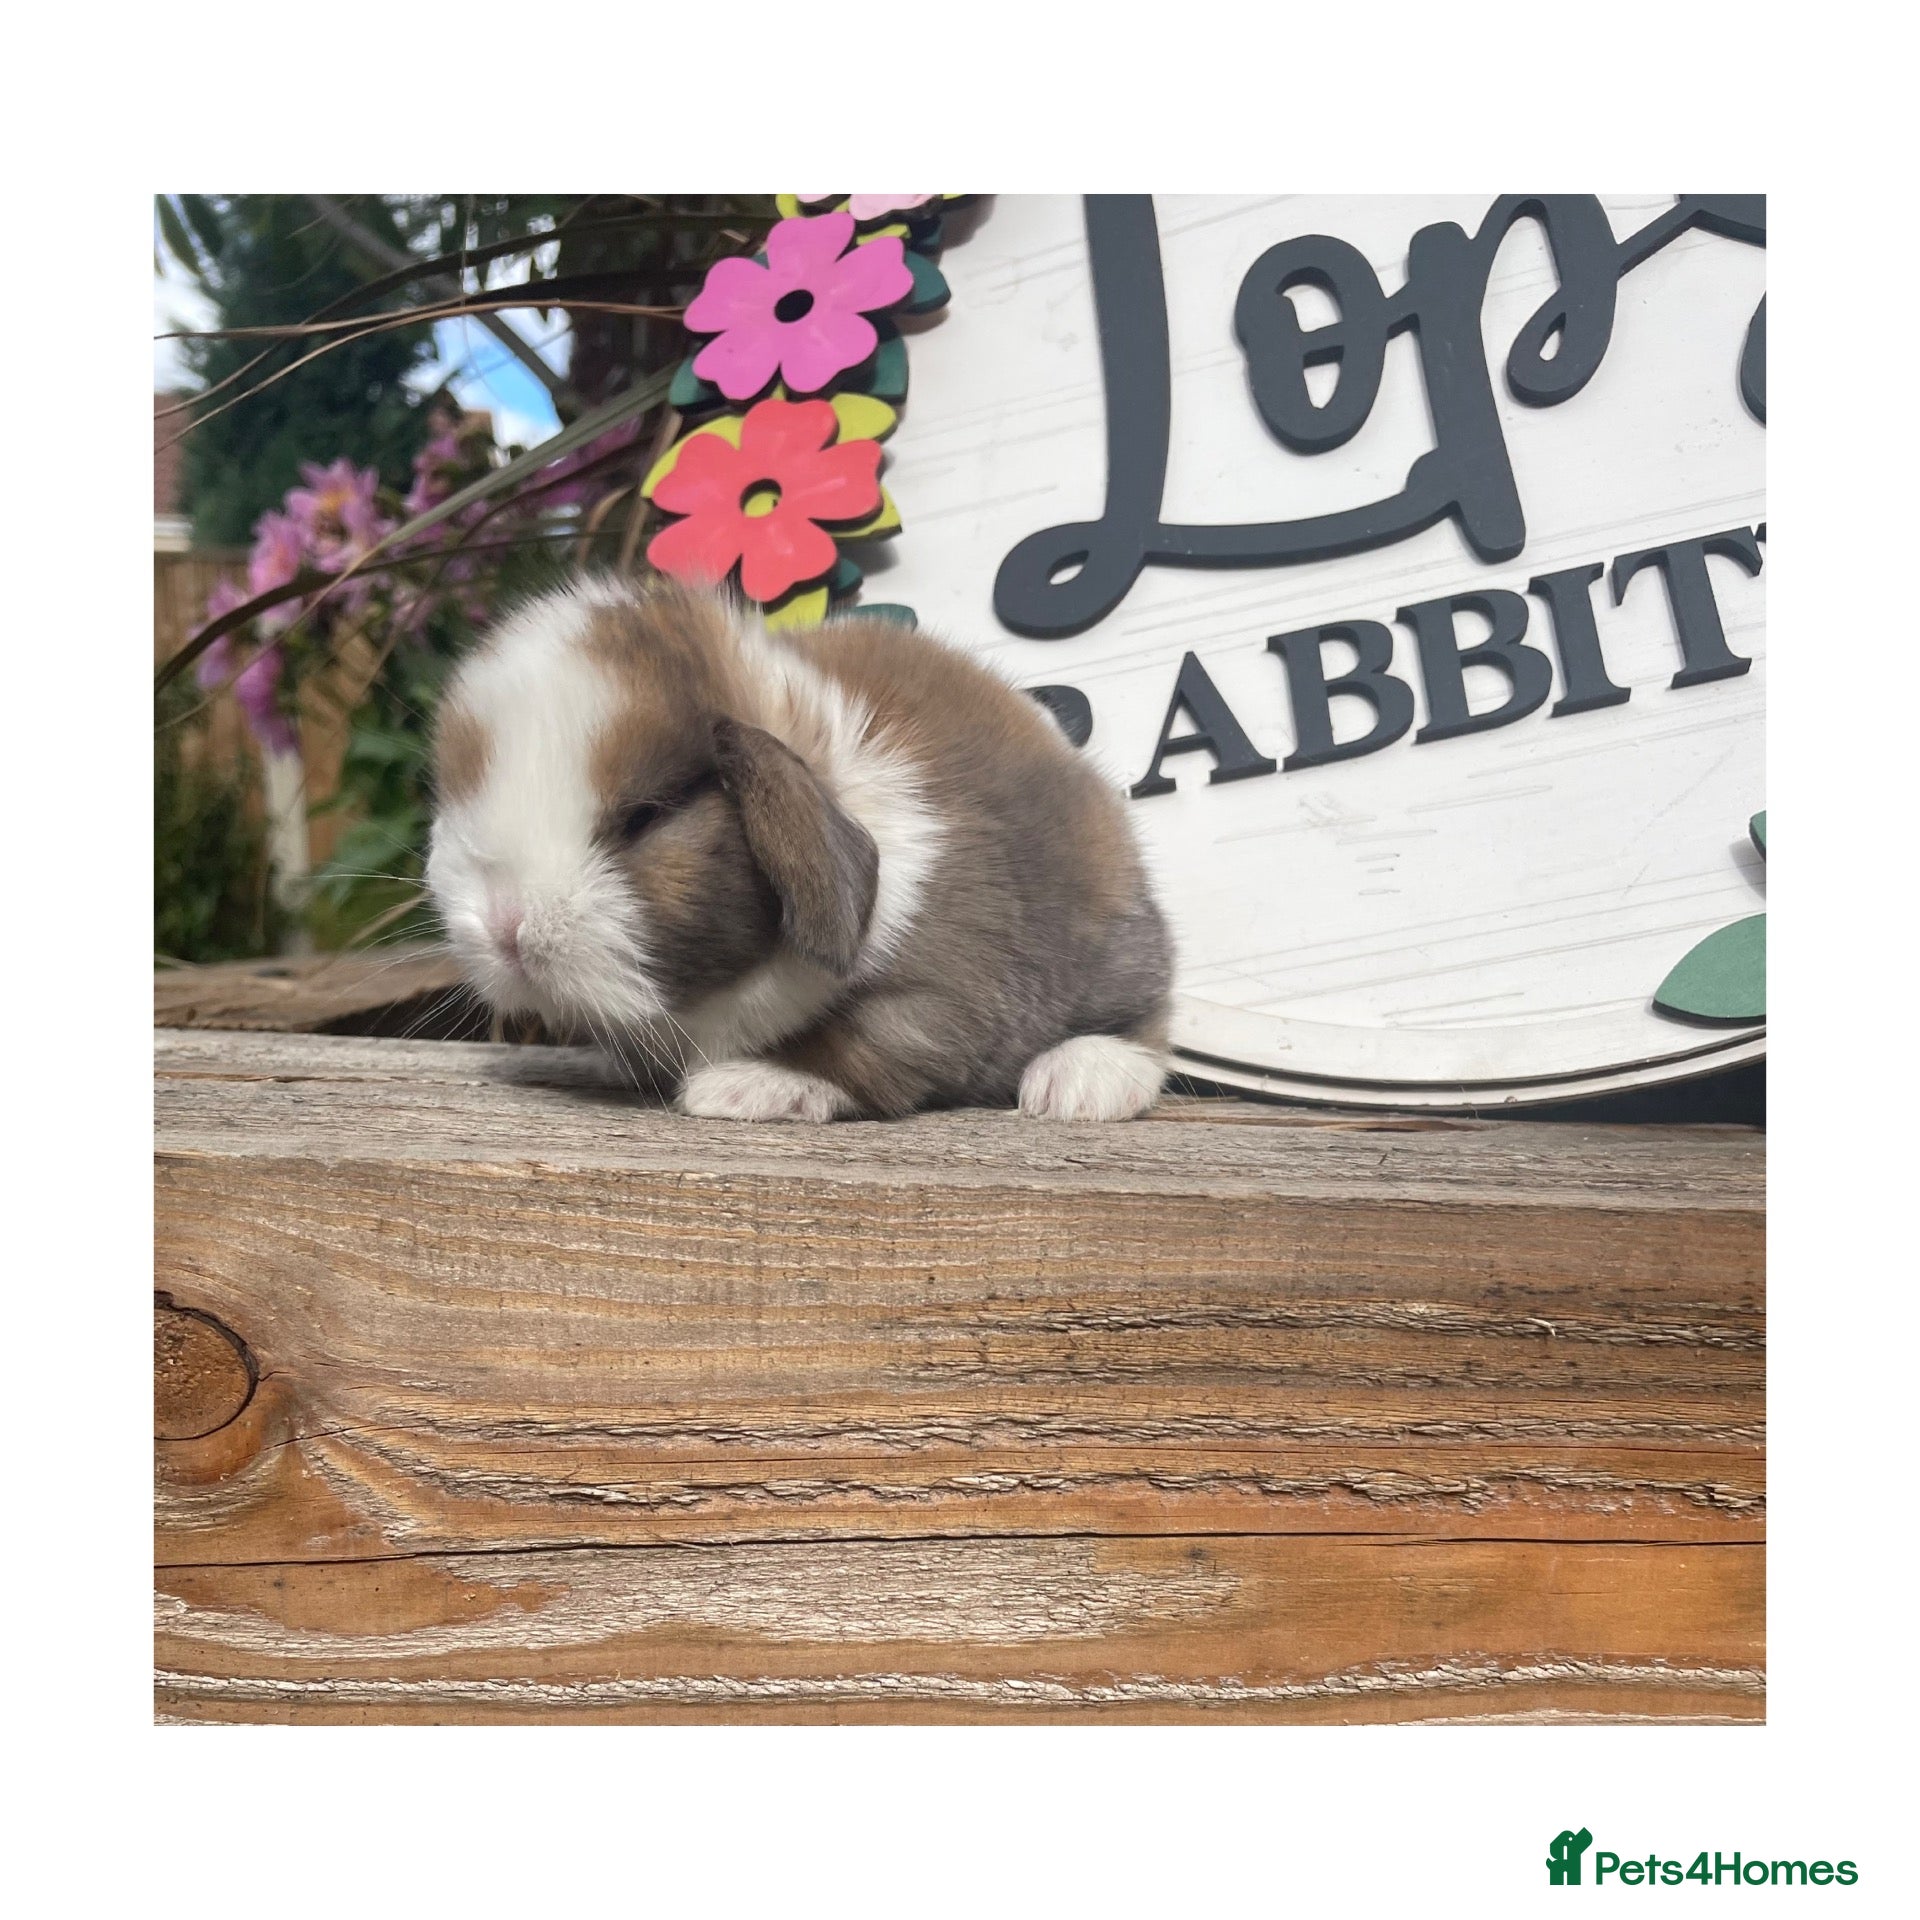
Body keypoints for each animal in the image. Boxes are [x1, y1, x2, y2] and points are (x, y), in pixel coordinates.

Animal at [425, 575, 1173, 1121]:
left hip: (1118, 947)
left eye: (646, 817)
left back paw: (1078, 1083)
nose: (504, 928)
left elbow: (856, 1050)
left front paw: (744, 1087)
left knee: (1148, 1021)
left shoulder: (939, 991)